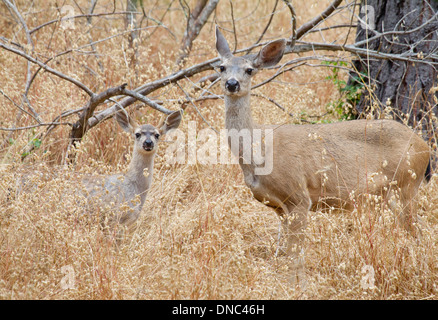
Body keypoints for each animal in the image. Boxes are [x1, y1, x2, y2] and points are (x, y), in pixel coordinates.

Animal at [216, 26, 432, 282]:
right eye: (221, 67)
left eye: (249, 70)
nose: (232, 84)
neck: (259, 150)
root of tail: (425, 146)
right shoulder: (279, 208)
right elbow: (284, 254)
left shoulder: (298, 196)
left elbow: (296, 257)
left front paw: (298, 286)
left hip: (405, 185)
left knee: (420, 229)